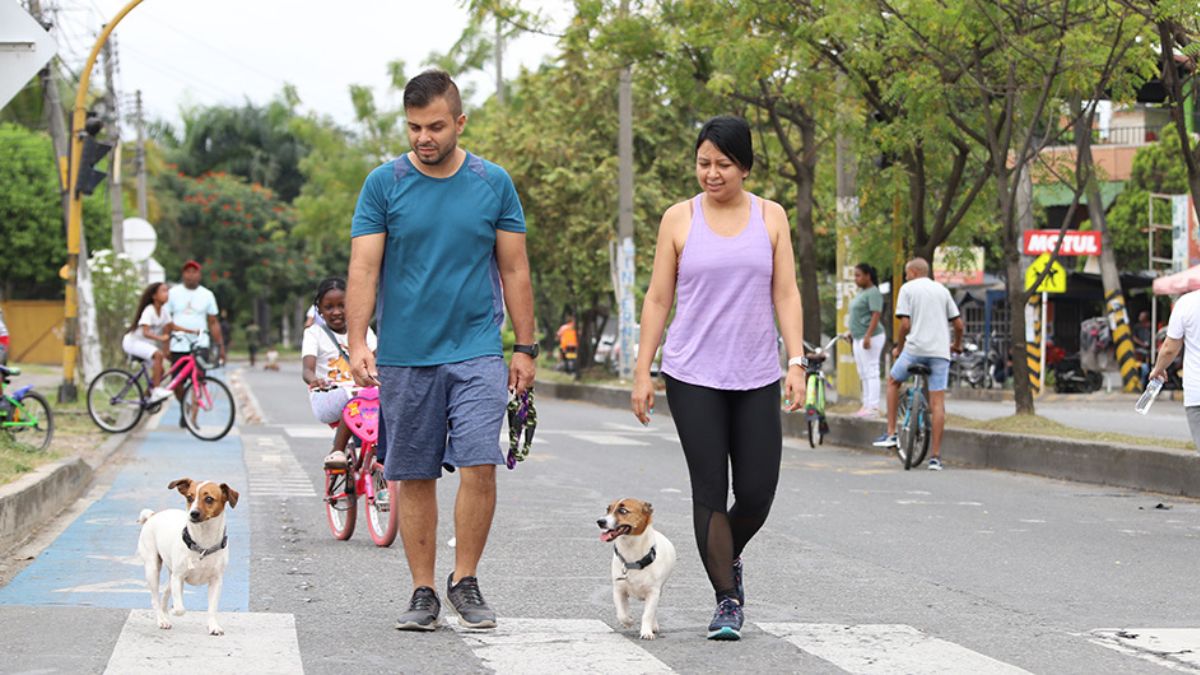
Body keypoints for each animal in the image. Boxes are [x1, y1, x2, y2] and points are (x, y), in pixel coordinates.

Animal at [137, 475, 237, 634]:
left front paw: (213, 626)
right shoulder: (178, 577)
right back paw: (162, 619)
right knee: (155, 598)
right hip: (152, 568)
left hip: (171, 575)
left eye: (209, 499)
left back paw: (165, 614)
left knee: (165, 592)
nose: (193, 513)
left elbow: (212, 608)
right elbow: (180, 609)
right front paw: (175, 610)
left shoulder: (216, 581)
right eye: (190, 497)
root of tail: (153, 515)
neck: (203, 544)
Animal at [597, 497, 676, 638]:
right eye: (608, 509)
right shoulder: (619, 590)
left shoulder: (653, 592)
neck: (632, 558)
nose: (600, 521)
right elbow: (621, 613)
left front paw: (646, 632)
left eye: (623, 510)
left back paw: (653, 625)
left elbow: (648, 614)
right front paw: (628, 621)